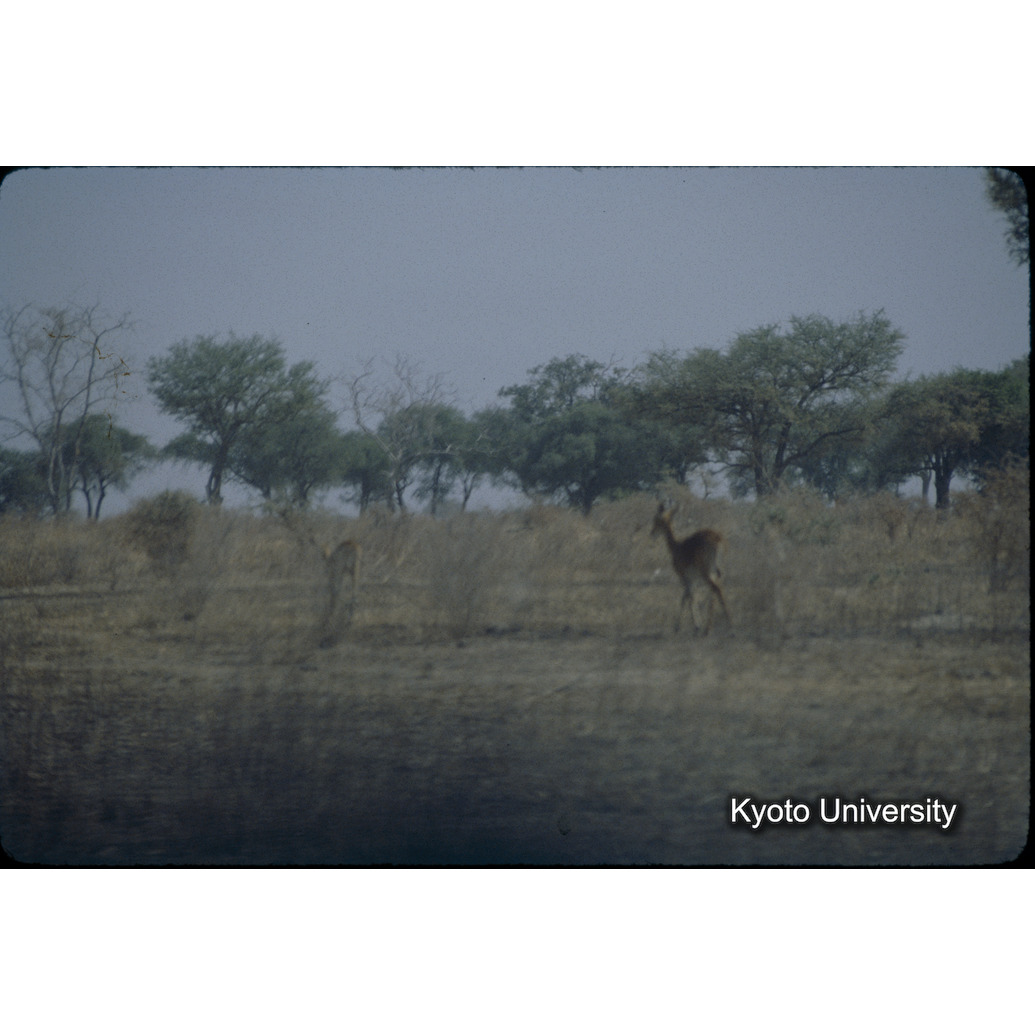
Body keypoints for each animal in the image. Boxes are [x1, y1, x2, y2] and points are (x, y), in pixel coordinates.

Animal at [650, 502, 731, 634]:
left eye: (657, 520)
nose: (652, 534)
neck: (677, 547)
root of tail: (718, 539)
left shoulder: (684, 577)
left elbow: (687, 597)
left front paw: (685, 627)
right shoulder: (694, 579)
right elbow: (692, 596)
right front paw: (697, 625)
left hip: (707, 573)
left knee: (717, 590)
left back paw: (729, 628)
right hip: (716, 572)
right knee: (714, 592)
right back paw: (708, 628)